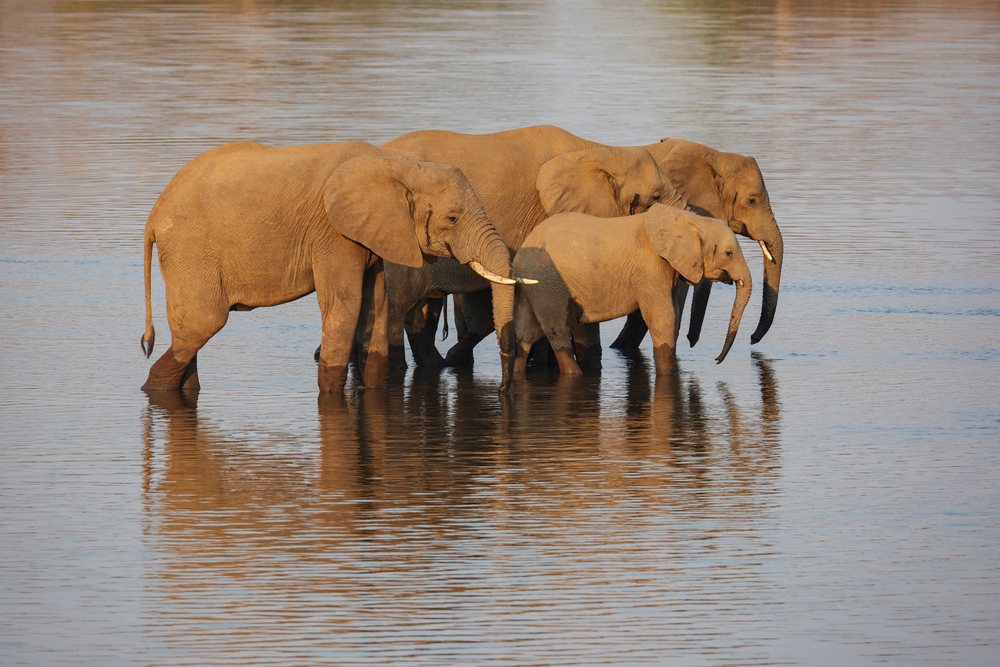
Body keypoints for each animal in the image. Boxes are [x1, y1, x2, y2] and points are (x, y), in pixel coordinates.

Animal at [139, 140, 529, 394]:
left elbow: (376, 304)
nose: (504, 390)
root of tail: (154, 213)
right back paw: (154, 391)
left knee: (189, 333)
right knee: (203, 324)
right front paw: (331, 397)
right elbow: (344, 304)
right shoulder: (332, 232)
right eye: (452, 218)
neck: (396, 163)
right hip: (191, 249)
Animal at [512, 204, 751, 376]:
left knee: (527, 332)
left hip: (535, 285)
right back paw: (576, 374)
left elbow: (673, 315)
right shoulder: (650, 269)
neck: (687, 220)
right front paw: (668, 375)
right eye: (729, 254)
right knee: (557, 331)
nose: (716, 361)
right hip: (547, 283)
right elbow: (662, 317)